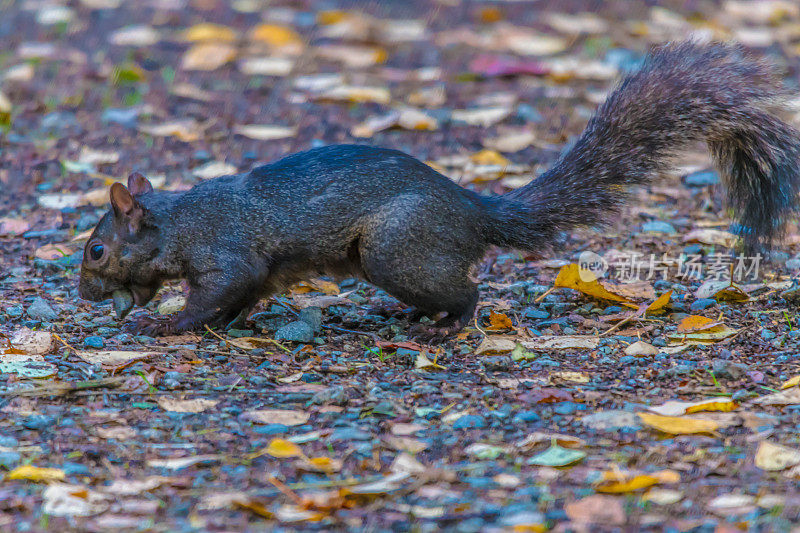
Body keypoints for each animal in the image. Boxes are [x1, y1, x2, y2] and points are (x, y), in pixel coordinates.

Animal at [78, 44, 800, 336]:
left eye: (95, 251)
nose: (82, 294)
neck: (174, 223)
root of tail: (475, 211)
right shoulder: (252, 272)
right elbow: (243, 298)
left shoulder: (225, 252)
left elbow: (224, 290)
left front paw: (170, 323)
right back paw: (417, 317)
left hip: (396, 249)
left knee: (469, 292)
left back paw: (444, 324)